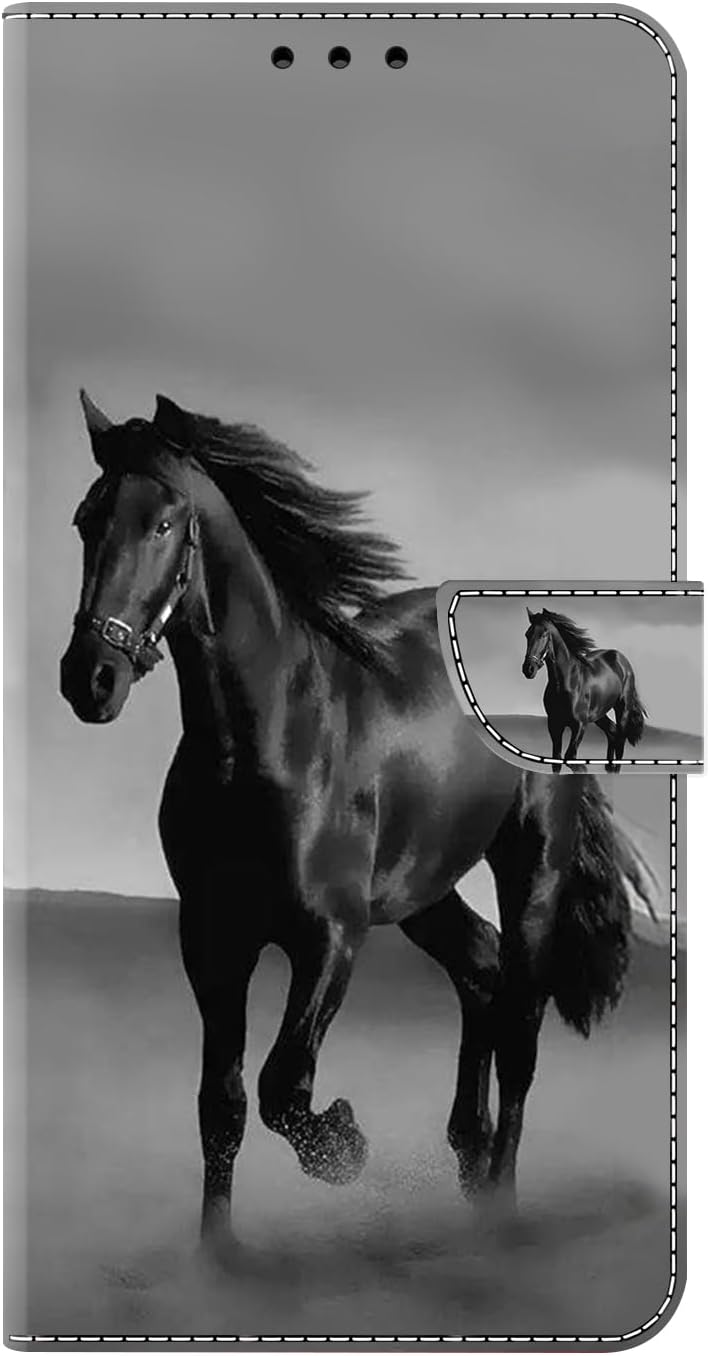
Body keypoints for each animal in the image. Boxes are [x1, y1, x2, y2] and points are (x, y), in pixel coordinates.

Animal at [522, 608, 647, 771]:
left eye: (544, 634)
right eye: (527, 634)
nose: (528, 669)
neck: (567, 683)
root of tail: (622, 659)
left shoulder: (580, 725)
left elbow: (571, 758)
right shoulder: (555, 725)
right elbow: (557, 760)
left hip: (622, 709)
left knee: (620, 742)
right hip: (599, 714)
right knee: (612, 732)